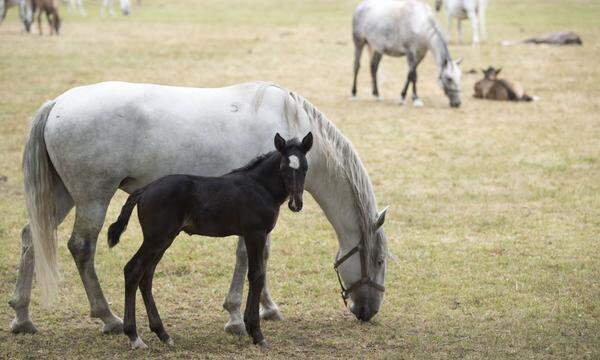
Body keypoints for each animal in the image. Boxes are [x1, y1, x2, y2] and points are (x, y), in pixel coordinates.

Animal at [108, 133, 314, 348]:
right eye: (283, 168)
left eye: (305, 168)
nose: (296, 204)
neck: (260, 187)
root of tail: (145, 189)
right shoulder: (255, 233)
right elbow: (256, 275)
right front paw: (257, 334)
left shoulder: (250, 234)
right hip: (156, 238)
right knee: (133, 270)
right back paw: (134, 336)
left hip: (163, 240)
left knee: (146, 275)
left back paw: (163, 334)